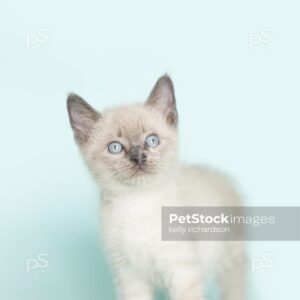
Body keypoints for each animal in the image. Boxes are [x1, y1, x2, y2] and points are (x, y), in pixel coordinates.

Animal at [67, 75, 246, 300]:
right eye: (115, 147)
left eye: (152, 141)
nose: (138, 157)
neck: (140, 202)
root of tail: (219, 174)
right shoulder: (130, 277)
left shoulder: (182, 273)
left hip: (231, 263)